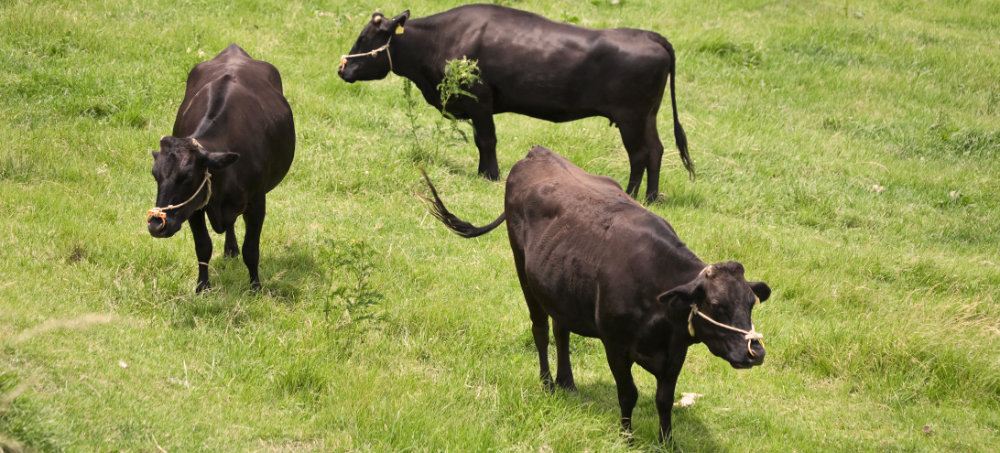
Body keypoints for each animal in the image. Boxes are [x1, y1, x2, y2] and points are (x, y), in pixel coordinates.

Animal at [146, 44, 292, 292]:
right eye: (155, 175)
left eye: (187, 177)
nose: (157, 225)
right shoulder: (195, 206)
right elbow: (203, 246)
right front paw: (202, 287)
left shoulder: (257, 202)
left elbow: (251, 250)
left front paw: (255, 287)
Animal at [340, 4, 692, 202]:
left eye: (364, 39)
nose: (343, 69)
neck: (436, 40)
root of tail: (648, 35)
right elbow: (482, 141)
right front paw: (483, 172)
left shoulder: (480, 100)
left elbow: (486, 140)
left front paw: (491, 176)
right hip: (646, 116)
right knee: (656, 150)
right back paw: (651, 197)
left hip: (631, 117)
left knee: (640, 154)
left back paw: (633, 195)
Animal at [422, 146, 772, 442]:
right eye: (716, 304)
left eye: (751, 304)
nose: (755, 353)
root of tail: (537, 152)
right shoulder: (615, 346)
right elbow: (628, 393)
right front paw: (626, 437)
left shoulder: (675, 352)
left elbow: (664, 399)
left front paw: (667, 442)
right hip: (523, 270)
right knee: (540, 330)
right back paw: (548, 383)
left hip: (560, 287)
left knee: (561, 331)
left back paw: (567, 382)